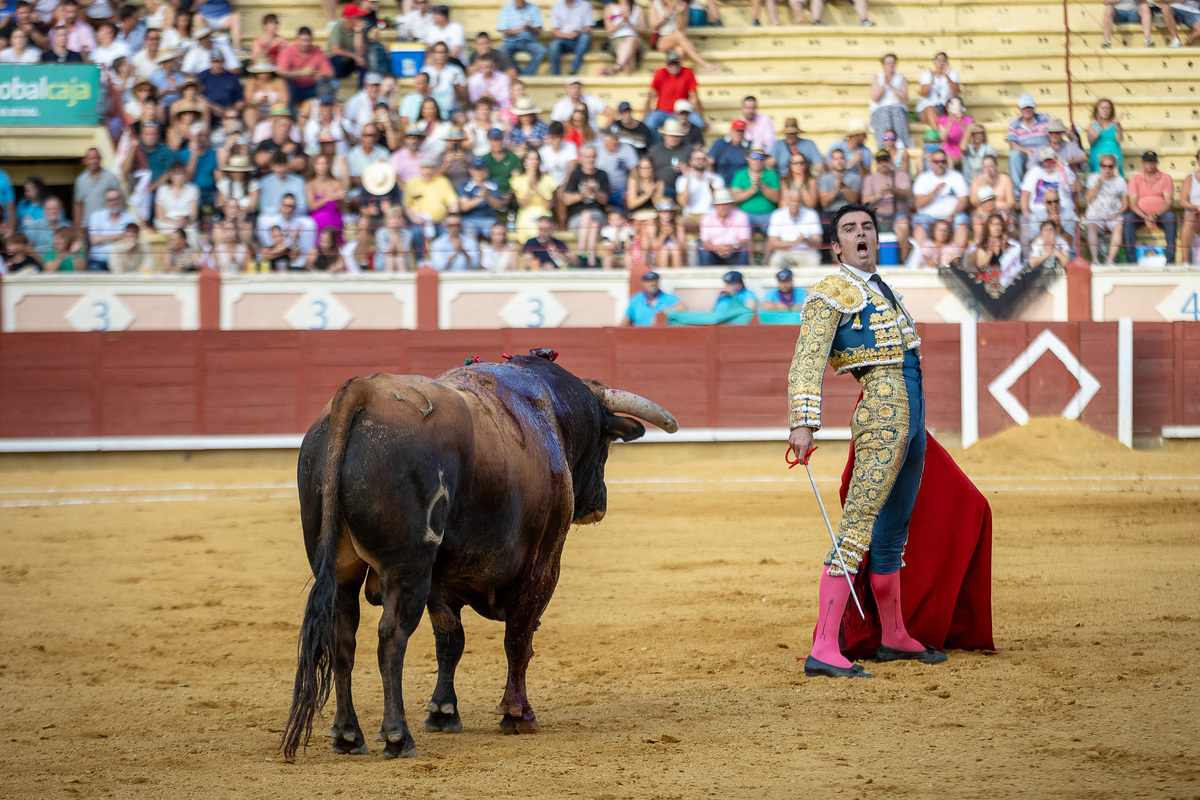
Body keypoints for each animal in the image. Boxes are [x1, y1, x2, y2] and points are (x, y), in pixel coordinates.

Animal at [279, 352, 676, 762]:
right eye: (605, 441)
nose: (599, 504)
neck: (553, 412)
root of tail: (363, 391)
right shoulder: (543, 565)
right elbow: (518, 639)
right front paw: (518, 715)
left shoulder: (441, 581)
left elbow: (450, 641)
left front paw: (443, 712)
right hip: (409, 567)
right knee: (391, 638)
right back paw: (397, 736)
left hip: (342, 568)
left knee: (342, 635)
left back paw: (348, 735)